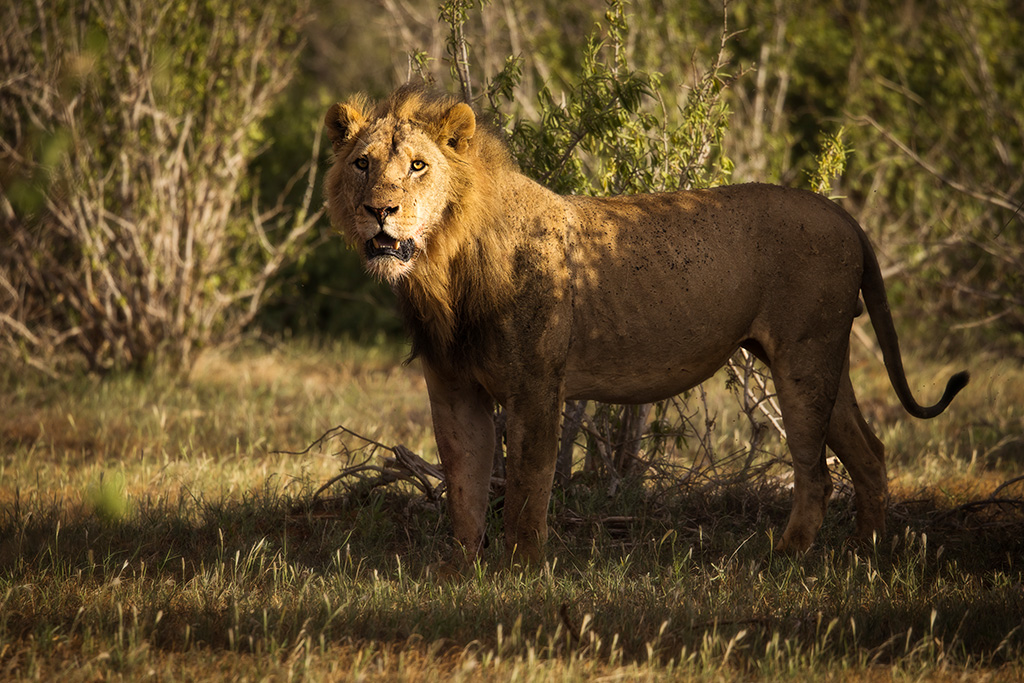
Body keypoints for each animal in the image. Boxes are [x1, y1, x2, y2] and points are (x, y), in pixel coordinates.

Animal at [323, 84, 968, 565]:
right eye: (362, 165)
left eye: (418, 166)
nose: (379, 210)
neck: (444, 265)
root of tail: (844, 216)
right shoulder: (454, 389)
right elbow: (464, 484)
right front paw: (461, 570)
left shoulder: (536, 384)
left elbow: (529, 484)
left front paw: (521, 569)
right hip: (821, 359)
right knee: (870, 452)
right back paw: (864, 551)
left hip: (804, 359)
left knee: (817, 473)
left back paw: (786, 557)